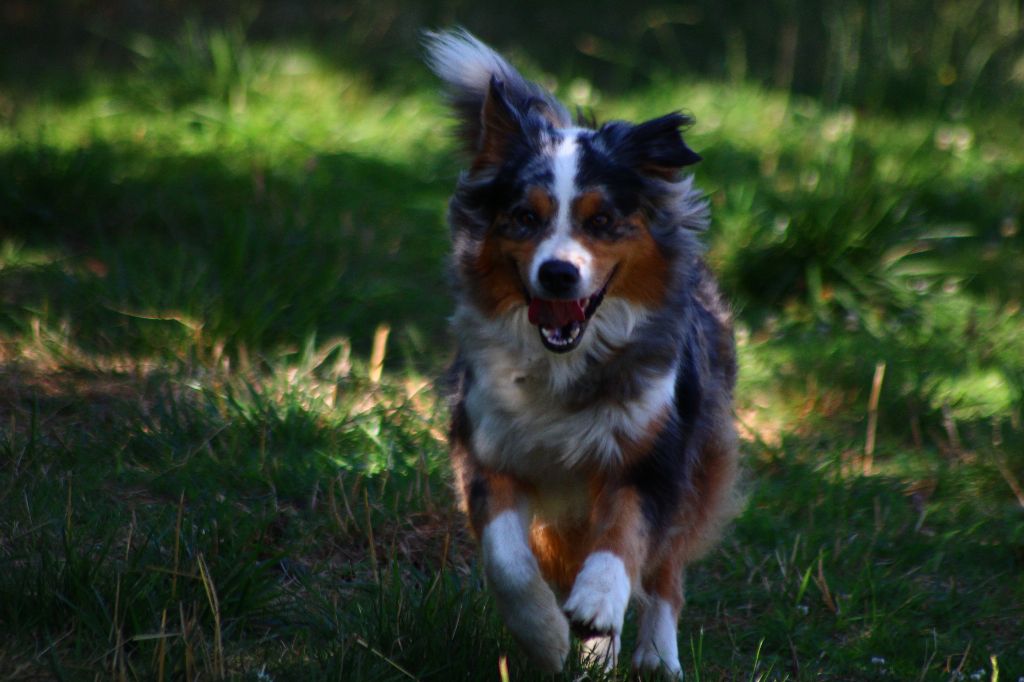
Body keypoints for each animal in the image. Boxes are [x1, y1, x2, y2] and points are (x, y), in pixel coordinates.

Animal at [425, 30, 745, 675]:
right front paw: (547, 636)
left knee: (666, 570)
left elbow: (624, 537)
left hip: (702, 452)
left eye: (602, 221)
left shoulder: (652, 451)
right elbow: (508, 560)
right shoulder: (486, 446)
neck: (563, 363)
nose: (557, 274)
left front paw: (598, 604)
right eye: (525, 217)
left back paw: (654, 655)